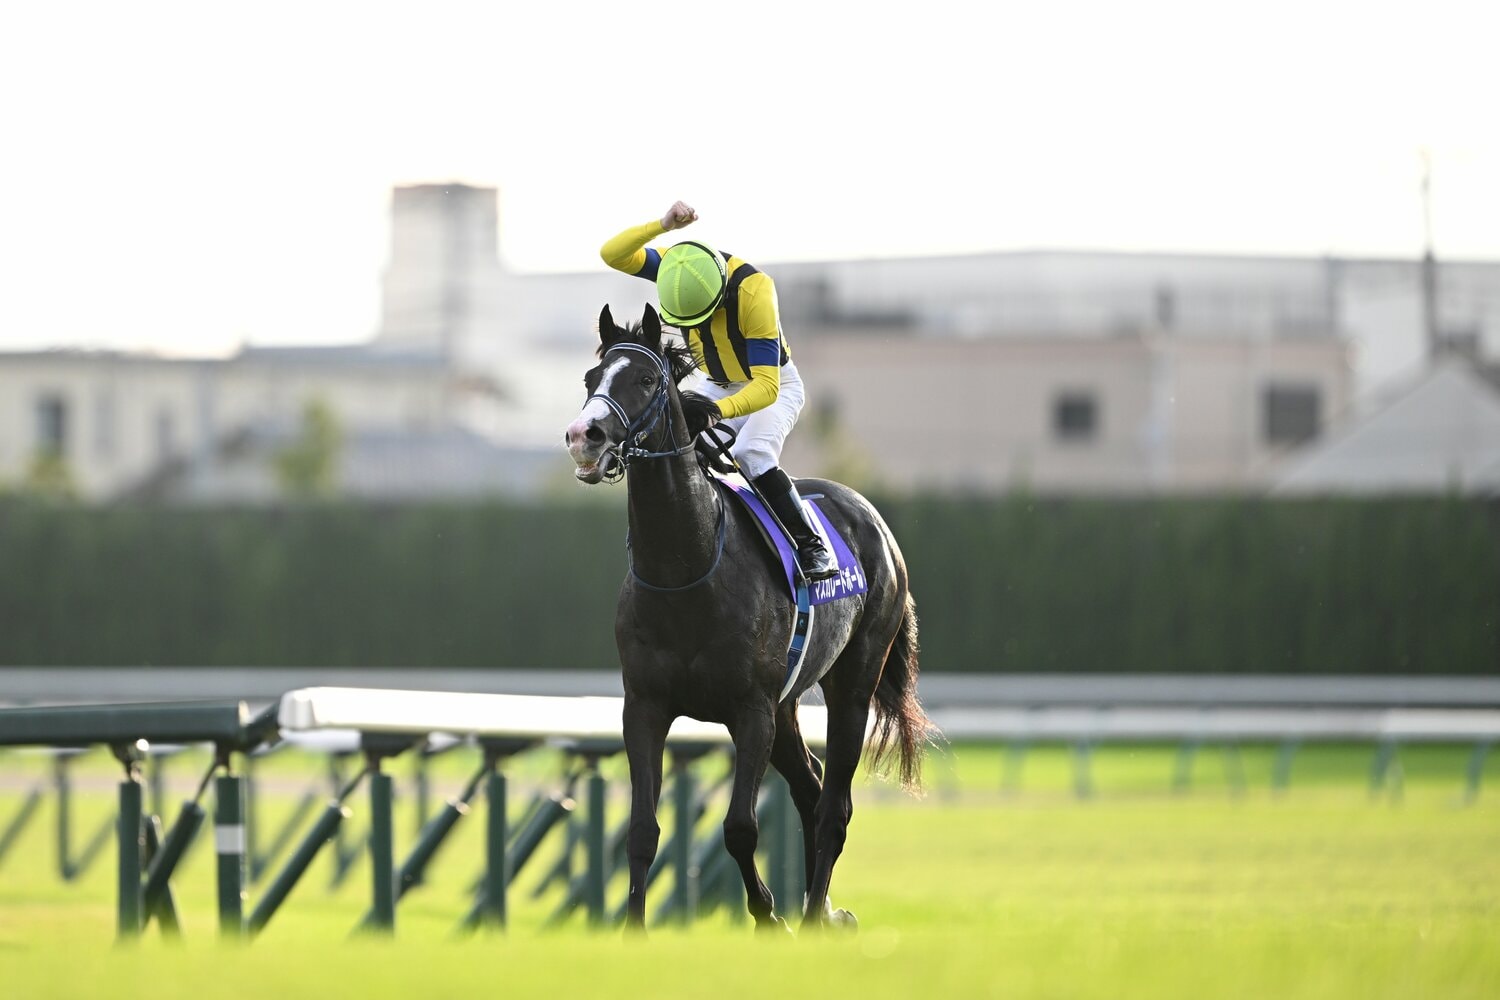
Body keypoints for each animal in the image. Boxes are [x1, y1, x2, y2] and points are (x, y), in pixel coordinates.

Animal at [564, 303, 931, 932]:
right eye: (592, 380)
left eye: (645, 380)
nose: (584, 437)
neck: (686, 570)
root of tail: (874, 522)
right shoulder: (646, 707)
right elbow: (641, 829)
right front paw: (633, 930)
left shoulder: (751, 710)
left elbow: (739, 828)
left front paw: (768, 917)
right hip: (786, 709)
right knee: (811, 789)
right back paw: (821, 909)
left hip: (852, 683)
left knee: (834, 804)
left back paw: (813, 915)